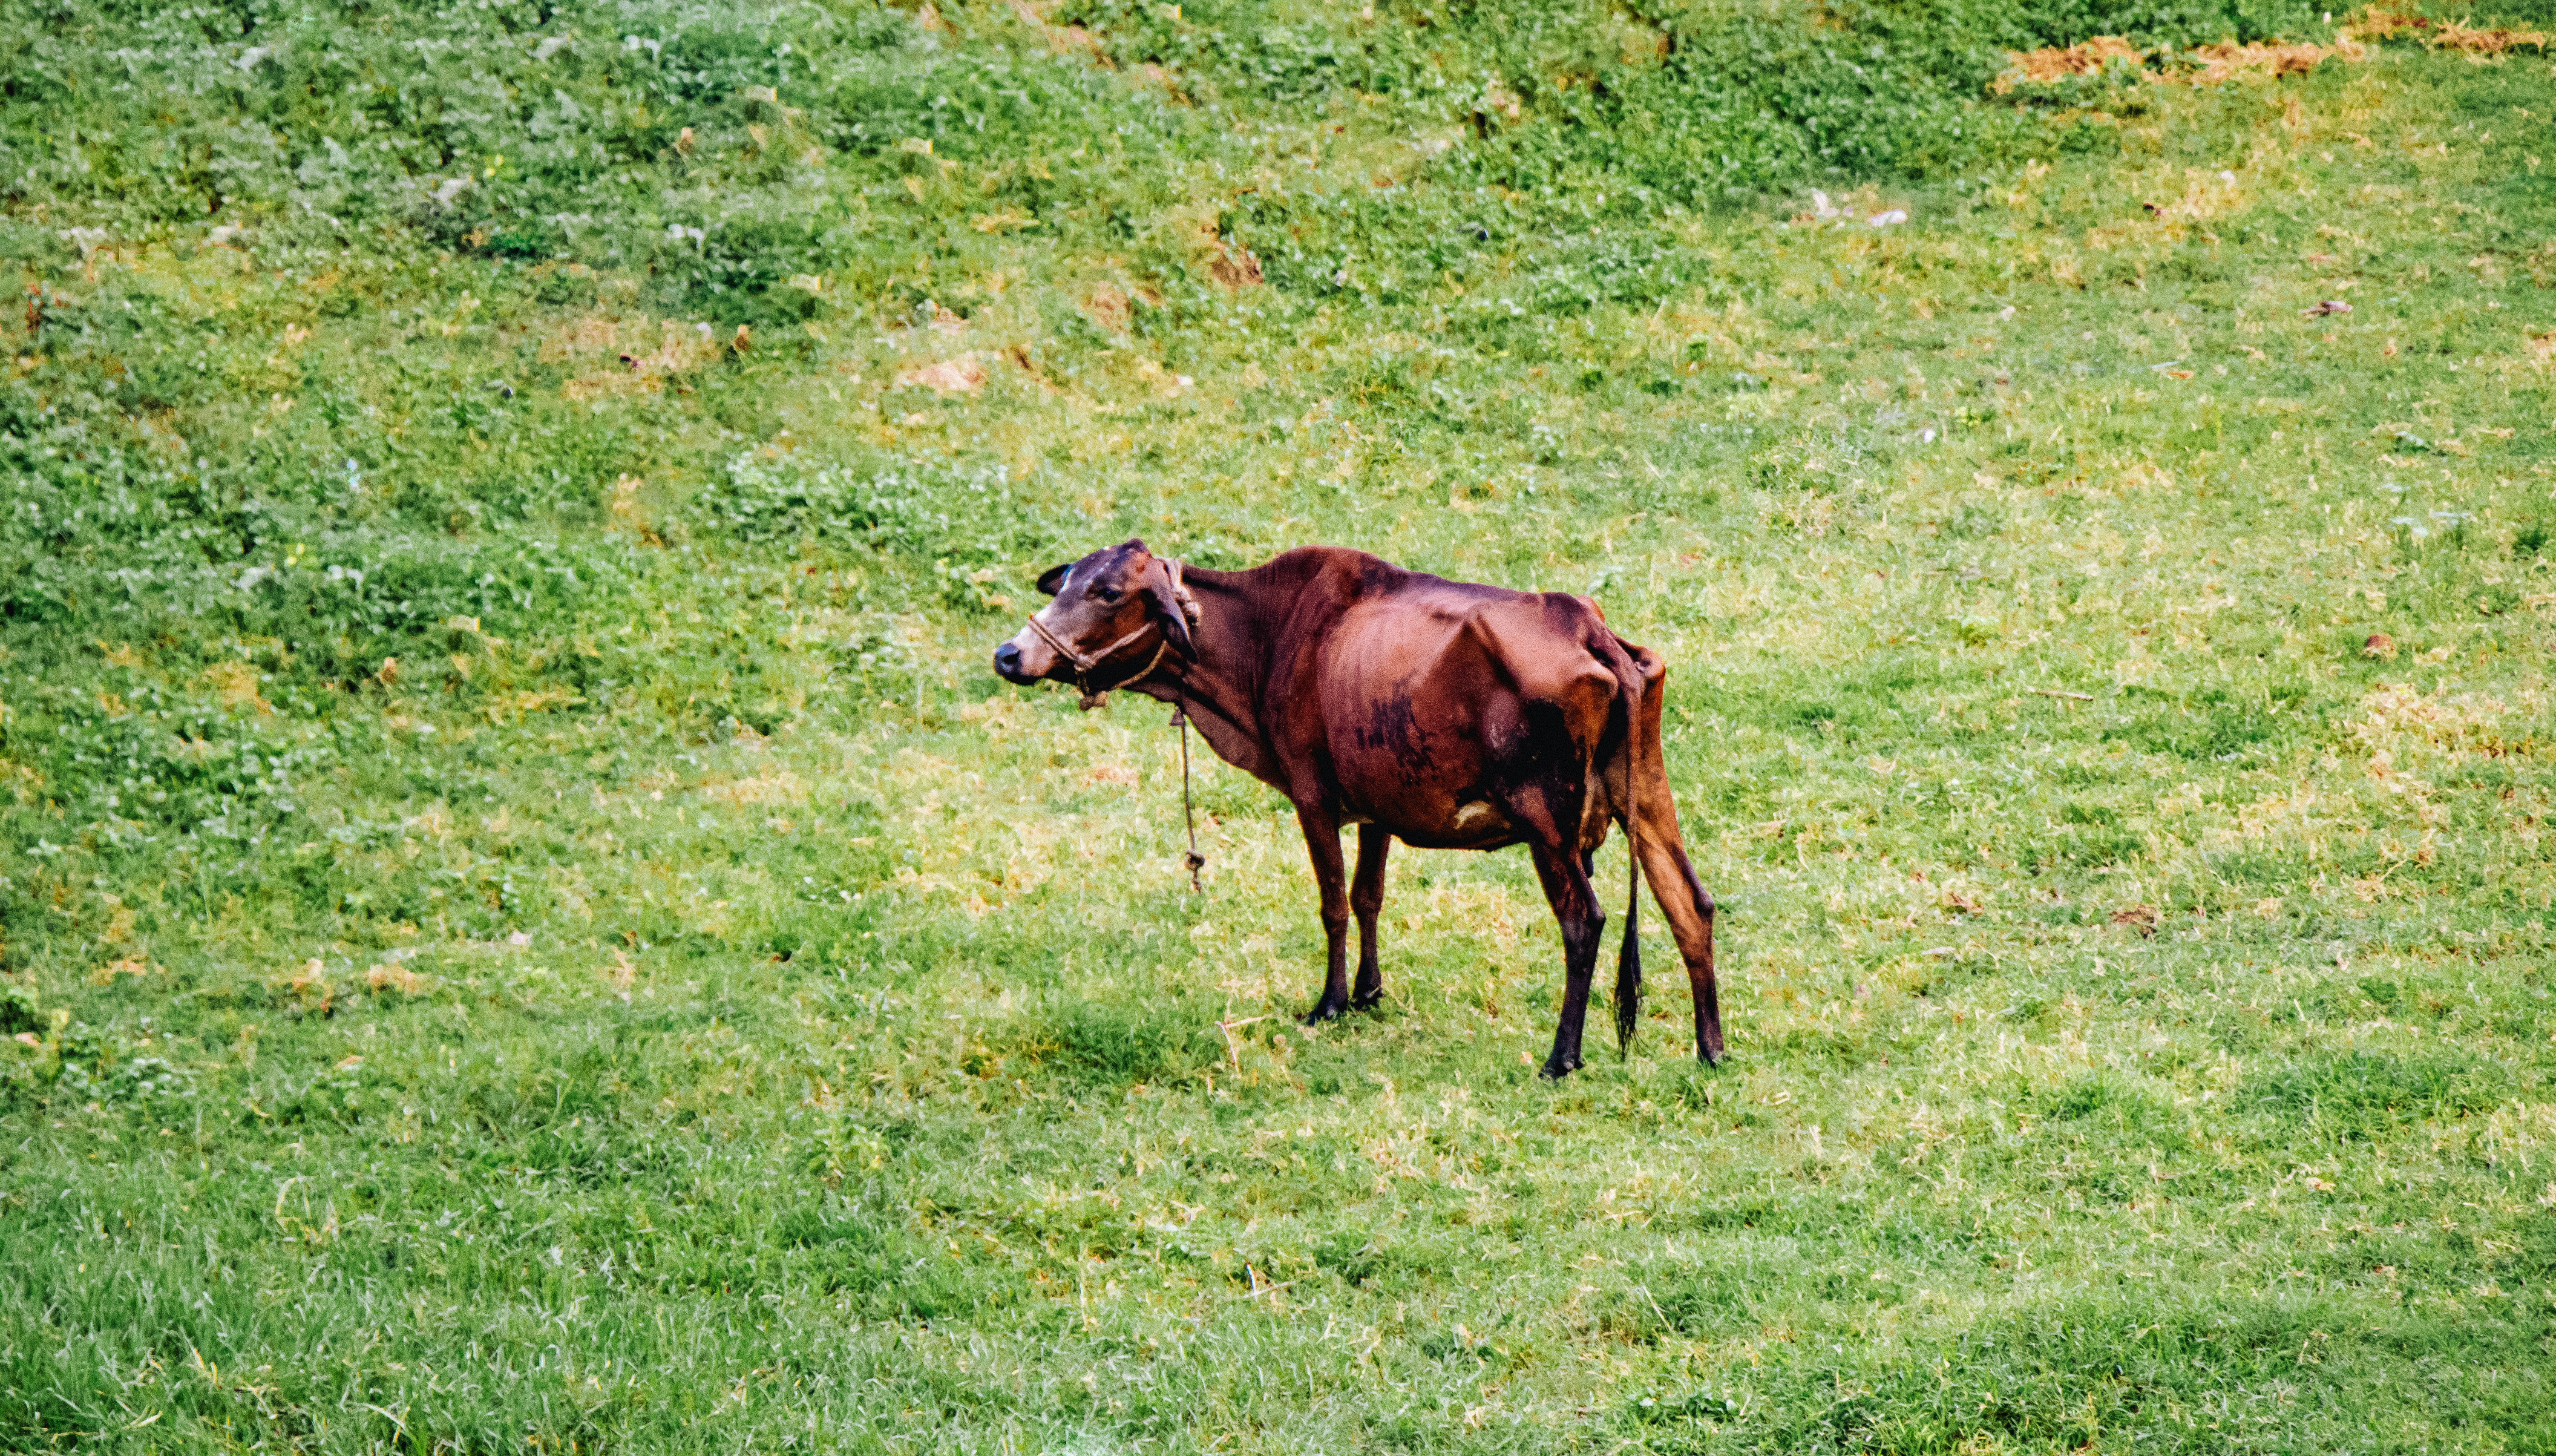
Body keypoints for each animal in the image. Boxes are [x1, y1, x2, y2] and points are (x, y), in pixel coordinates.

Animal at [992, 540, 1723, 1077]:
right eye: (1064, 584)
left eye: (1108, 593)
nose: (1009, 654)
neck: (1267, 638)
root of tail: (1590, 625)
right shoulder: (1378, 803)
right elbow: (1370, 895)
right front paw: (1371, 991)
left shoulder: (1313, 793)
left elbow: (1335, 903)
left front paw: (1332, 1002)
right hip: (1647, 796)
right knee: (1690, 903)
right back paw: (1711, 1048)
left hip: (1547, 820)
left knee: (1584, 920)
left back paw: (1561, 1058)